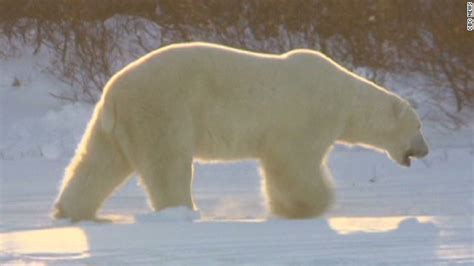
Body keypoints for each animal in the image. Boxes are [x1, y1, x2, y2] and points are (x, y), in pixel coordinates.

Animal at [52, 42, 430, 220]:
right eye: (419, 126)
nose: (425, 150)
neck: (344, 95)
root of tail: (113, 93)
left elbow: (278, 167)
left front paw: (284, 207)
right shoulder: (306, 117)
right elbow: (295, 163)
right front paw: (311, 205)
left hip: (115, 125)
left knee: (97, 163)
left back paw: (70, 211)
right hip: (162, 109)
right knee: (168, 164)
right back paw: (183, 211)